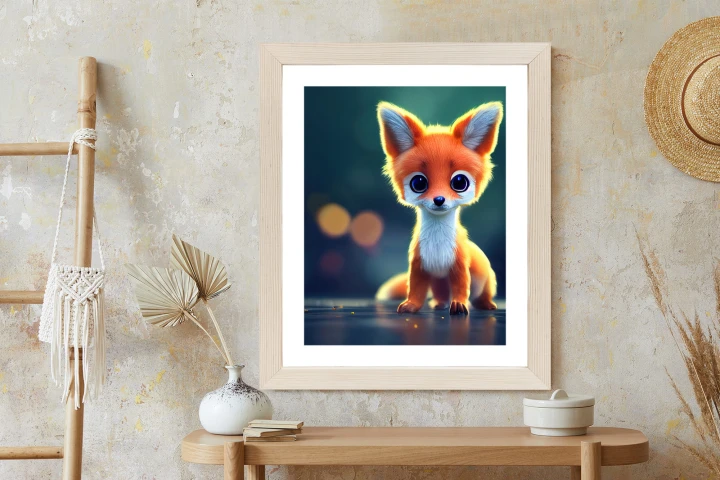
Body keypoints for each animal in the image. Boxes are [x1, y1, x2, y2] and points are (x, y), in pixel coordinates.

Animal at [374, 101, 503, 315]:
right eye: (419, 183)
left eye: (459, 182)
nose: (439, 199)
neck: (437, 244)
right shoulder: (419, 266)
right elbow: (416, 290)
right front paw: (411, 305)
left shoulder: (459, 267)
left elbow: (461, 288)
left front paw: (459, 305)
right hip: (439, 283)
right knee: (441, 295)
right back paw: (439, 304)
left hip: (486, 281)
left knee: (481, 295)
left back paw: (485, 304)